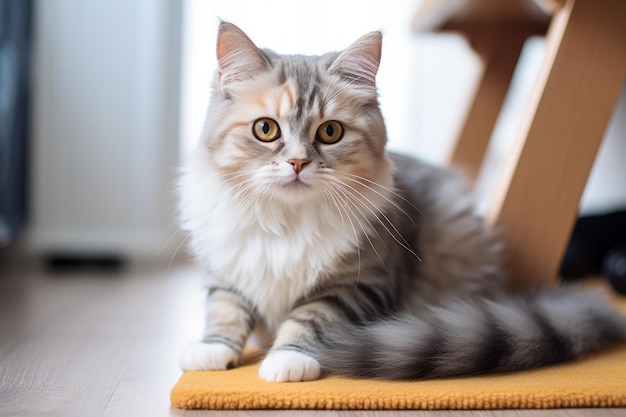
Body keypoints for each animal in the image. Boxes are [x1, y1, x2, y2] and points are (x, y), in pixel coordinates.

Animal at [177, 22, 624, 380]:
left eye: (330, 132)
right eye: (266, 130)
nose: (298, 162)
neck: (288, 218)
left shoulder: (358, 283)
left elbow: (309, 318)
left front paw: (287, 360)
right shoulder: (228, 269)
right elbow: (225, 309)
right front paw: (211, 351)